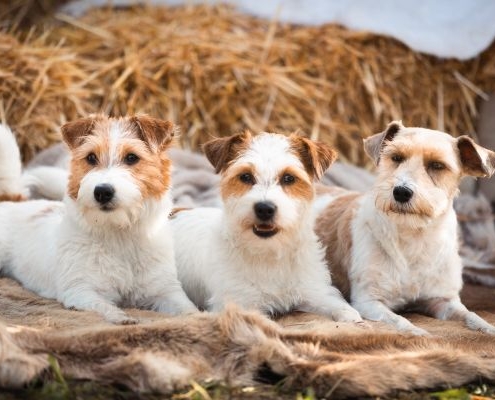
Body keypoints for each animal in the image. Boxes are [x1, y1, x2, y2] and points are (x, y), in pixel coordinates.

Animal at [0, 114, 198, 324]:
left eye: (132, 157)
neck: (118, 232)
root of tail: (12, 200)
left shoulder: (166, 290)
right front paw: (122, 318)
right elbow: (104, 307)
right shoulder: (81, 291)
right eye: (91, 157)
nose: (102, 192)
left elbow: (189, 309)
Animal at [172, 131, 362, 322]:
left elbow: (342, 308)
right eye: (245, 176)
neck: (269, 252)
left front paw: (351, 317)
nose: (264, 209)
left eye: (288, 178)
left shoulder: (316, 291)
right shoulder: (238, 305)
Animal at [316, 121, 495, 334]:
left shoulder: (443, 300)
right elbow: (401, 322)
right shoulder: (369, 302)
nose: (401, 192)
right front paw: (419, 333)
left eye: (437, 165)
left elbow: (472, 316)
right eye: (396, 157)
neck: (414, 236)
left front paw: (488, 329)